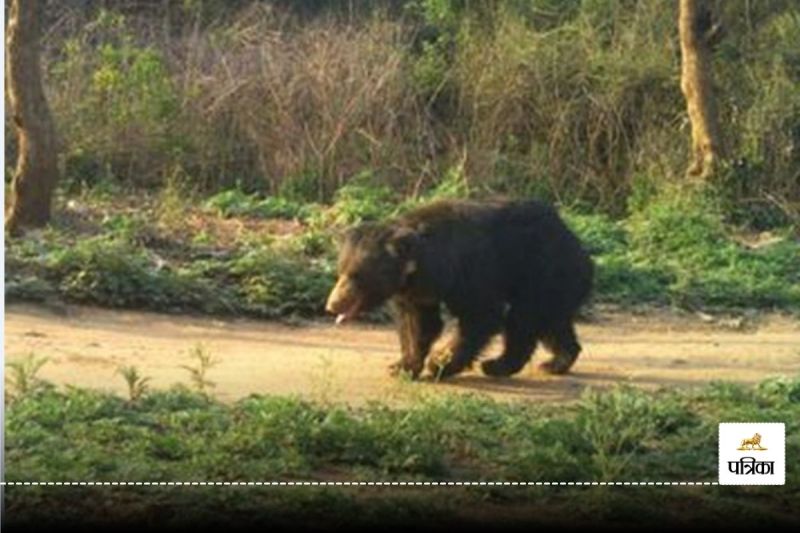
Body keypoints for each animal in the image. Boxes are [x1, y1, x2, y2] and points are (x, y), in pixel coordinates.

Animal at [325, 199, 594, 380]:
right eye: (341, 271)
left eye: (357, 276)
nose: (332, 305)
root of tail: (577, 245)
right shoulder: (416, 292)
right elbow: (418, 323)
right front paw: (402, 367)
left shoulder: (469, 272)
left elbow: (480, 315)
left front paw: (439, 364)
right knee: (552, 325)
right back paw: (557, 361)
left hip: (543, 273)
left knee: (523, 320)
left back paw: (498, 365)